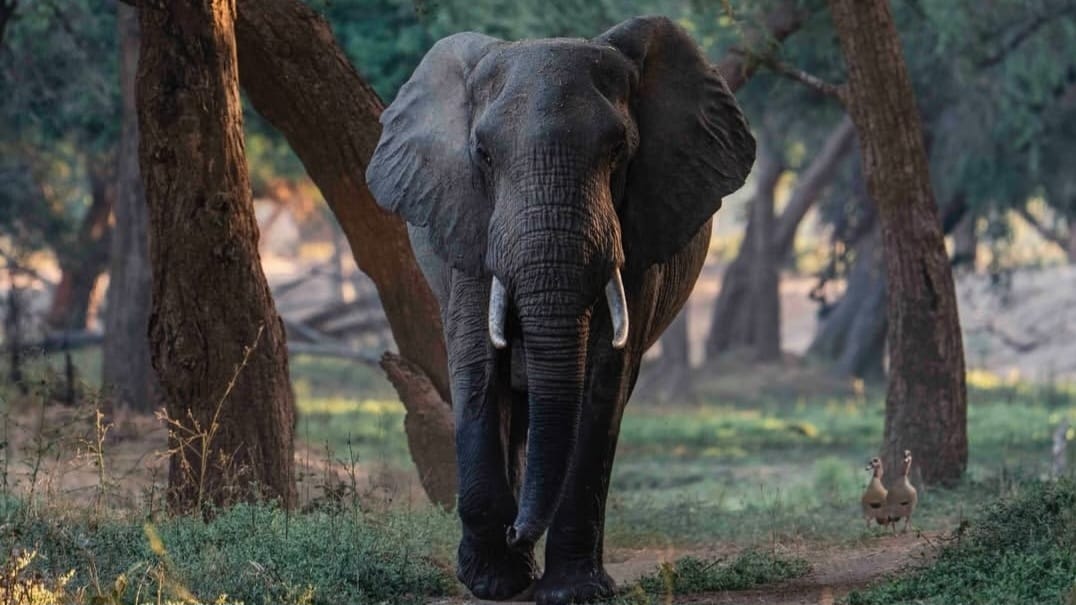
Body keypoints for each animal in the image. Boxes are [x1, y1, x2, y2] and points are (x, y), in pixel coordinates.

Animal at [366, 15, 755, 605]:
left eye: (618, 151)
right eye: (482, 155)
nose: (516, 530)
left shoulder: (635, 237)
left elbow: (602, 383)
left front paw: (573, 591)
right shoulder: (468, 225)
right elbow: (478, 369)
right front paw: (493, 583)